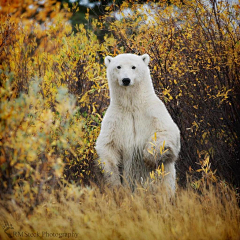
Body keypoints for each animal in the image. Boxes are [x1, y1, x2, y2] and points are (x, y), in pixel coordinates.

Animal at [95, 53, 180, 193]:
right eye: (118, 66)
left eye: (133, 67)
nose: (126, 80)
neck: (132, 105)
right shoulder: (115, 119)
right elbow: (108, 145)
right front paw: (115, 182)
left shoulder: (153, 111)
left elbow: (166, 132)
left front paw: (148, 158)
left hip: (165, 181)